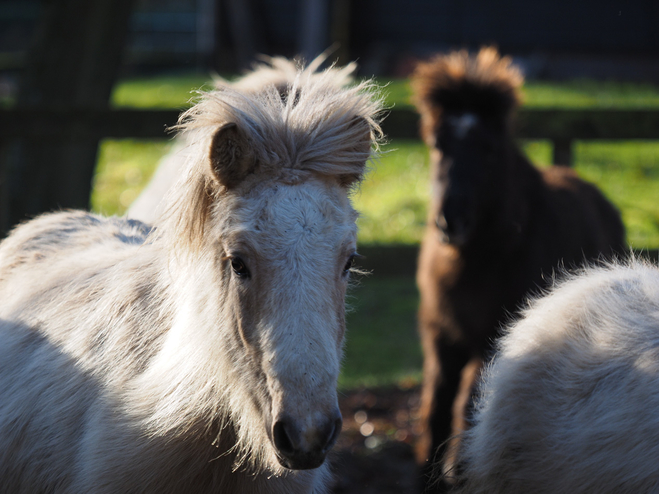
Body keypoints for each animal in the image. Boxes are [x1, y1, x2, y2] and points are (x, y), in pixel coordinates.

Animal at [416, 46, 628, 490]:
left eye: (490, 148)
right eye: (437, 144)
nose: (450, 220)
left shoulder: (491, 339)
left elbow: (467, 403)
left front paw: (458, 470)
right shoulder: (442, 337)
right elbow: (435, 409)